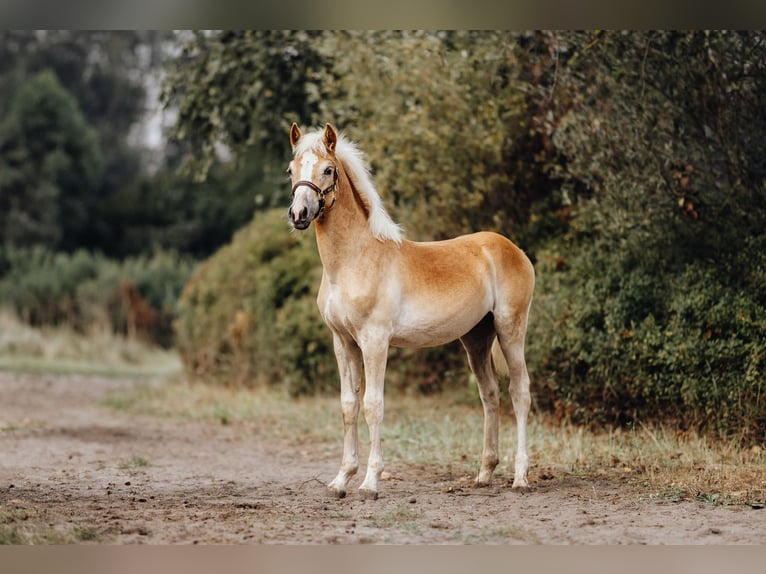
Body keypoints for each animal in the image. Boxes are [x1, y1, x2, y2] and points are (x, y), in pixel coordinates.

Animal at [286, 124, 536, 502]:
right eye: (291, 170)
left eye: (328, 170)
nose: (299, 214)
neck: (354, 261)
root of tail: (514, 250)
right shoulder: (342, 342)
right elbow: (348, 405)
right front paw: (341, 480)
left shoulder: (375, 340)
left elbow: (373, 405)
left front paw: (370, 483)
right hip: (476, 338)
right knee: (489, 394)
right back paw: (484, 475)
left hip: (510, 330)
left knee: (519, 392)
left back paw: (520, 477)